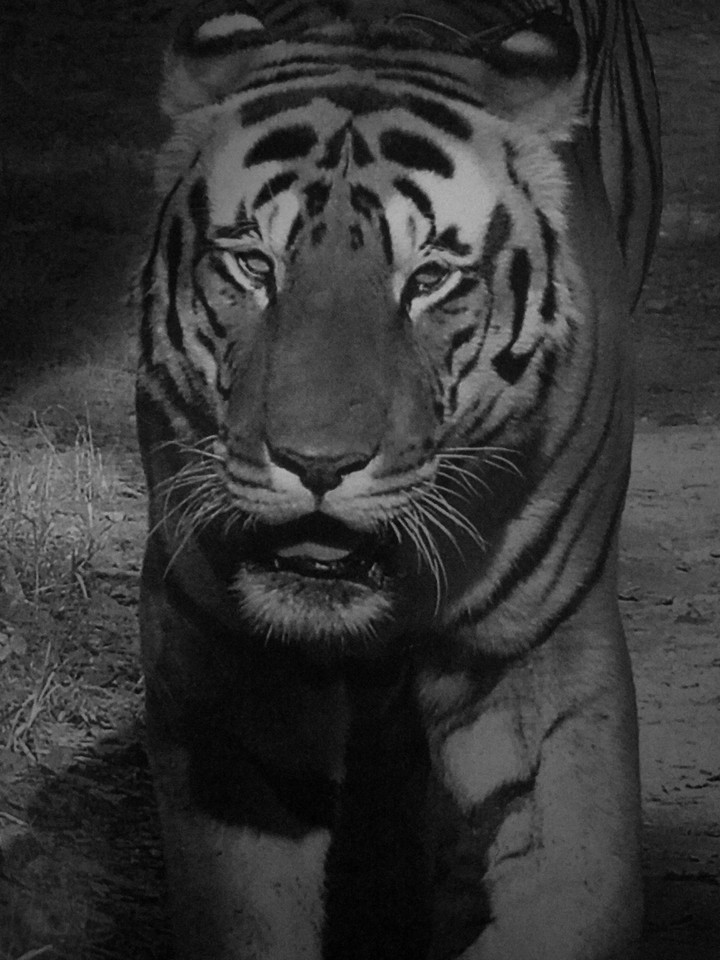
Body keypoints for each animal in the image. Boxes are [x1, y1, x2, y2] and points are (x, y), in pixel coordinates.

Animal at [136, 1, 662, 958]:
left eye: (430, 279)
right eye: (254, 266)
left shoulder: (543, 654)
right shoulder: (221, 659)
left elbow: (575, 886)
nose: (316, 462)